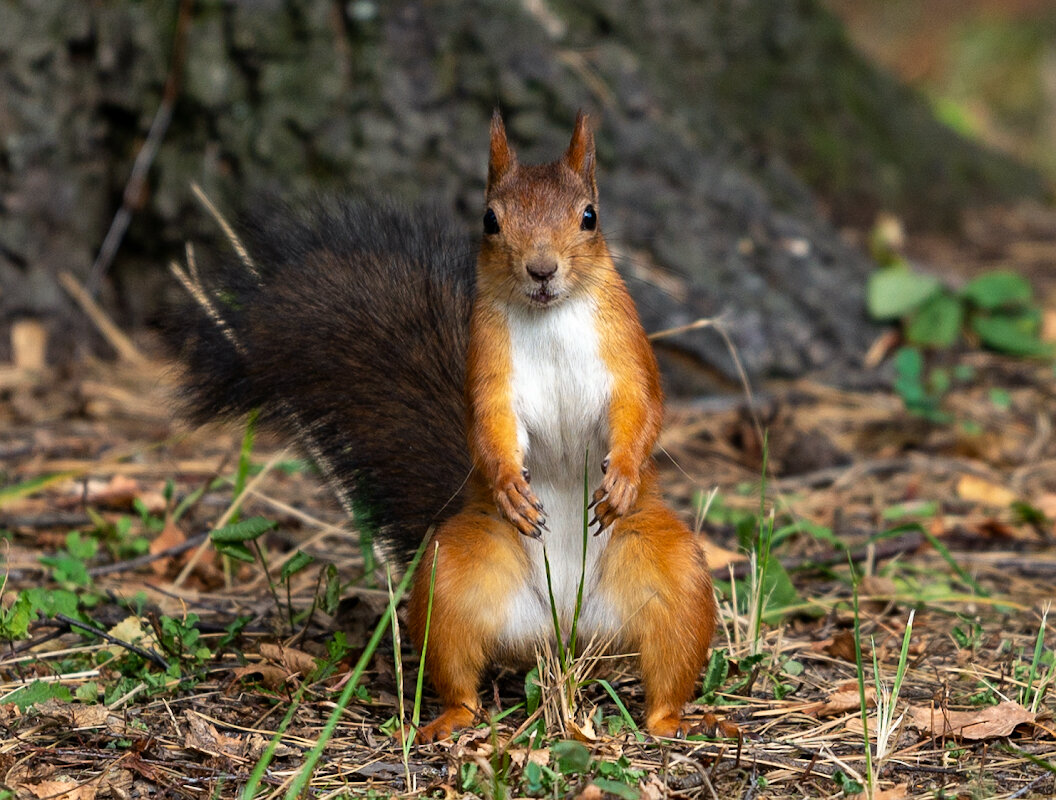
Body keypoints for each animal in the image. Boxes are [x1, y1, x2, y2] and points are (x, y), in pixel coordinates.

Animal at [171, 109, 718, 743]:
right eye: (490, 220)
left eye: (590, 216)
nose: (541, 270)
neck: (549, 316)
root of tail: (564, 633)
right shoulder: (488, 371)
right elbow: (488, 429)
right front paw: (510, 487)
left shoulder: (628, 355)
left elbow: (643, 411)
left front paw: (623, 478)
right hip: (452, 579)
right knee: (458, 669)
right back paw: (450, 719)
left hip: (673, 579)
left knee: (670, 657)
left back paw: (677, 721)